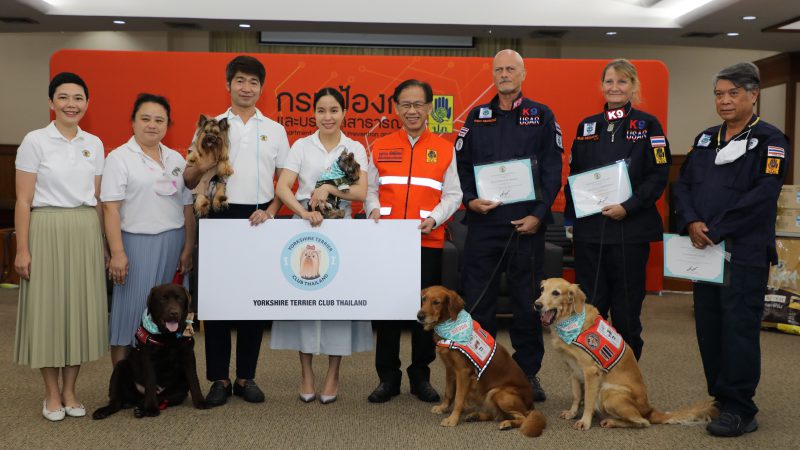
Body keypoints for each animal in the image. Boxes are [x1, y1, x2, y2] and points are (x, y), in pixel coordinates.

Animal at [93, 284, 209, 418]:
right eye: (163, 299)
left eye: (179, 299)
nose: (174, 313)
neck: (168, 337)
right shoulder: (148, 360)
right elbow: (150, 382)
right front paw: (151, 408)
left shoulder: (188, 357)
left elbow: (194, 380)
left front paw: (200, 401)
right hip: (120, 367)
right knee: (116, 401)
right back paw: (105, 411)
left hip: (180, 385)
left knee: (160, 397)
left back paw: (139, 408)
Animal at [418, 286, 544, 438]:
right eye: (424, 299)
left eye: (436, 302)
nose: (419, 316)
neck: (450, 325)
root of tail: (531, 405)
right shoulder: (450, 369)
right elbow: (449, 392)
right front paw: (443, 408)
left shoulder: (463, 372)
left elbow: (458, 398)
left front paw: (453, 419)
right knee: (497, 415)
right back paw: (476, 416)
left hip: (499, 393)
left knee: (522, 417)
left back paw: (508, 423)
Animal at [536, 280, 716, 430]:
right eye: (542, 289)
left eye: (556, 293)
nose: (537, 304)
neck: (571, 322)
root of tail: (649, 409)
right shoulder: (573, 369)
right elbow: (576, 395)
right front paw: (572, 413)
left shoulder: (591, 372)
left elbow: (588, 400)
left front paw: (585, 421)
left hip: (608, 393)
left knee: (642, 422)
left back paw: (612, 421)